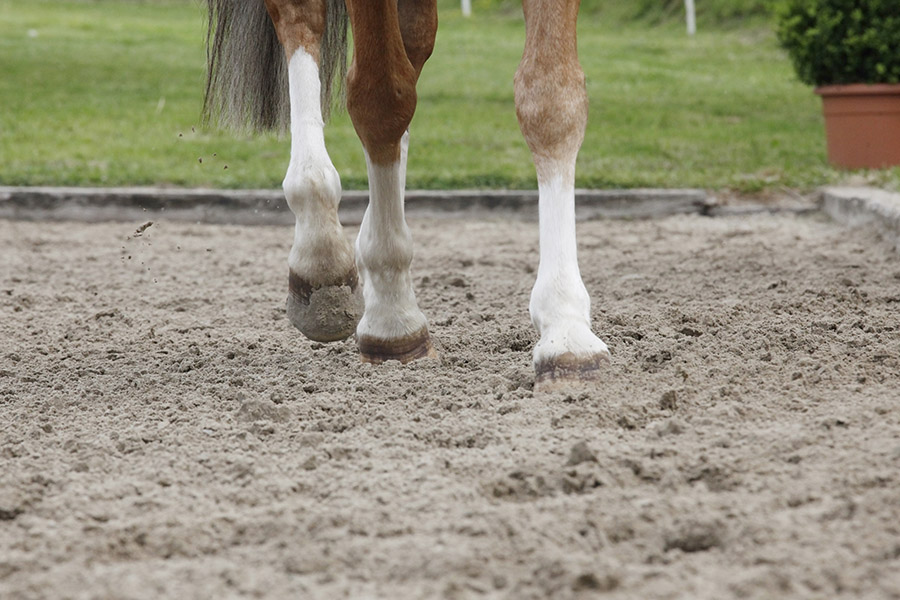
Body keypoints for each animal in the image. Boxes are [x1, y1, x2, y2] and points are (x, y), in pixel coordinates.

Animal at [203, 0, 610, 390]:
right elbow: (382, 99)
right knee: (302, 19)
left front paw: (567, 331)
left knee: (413, 44)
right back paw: (321, 258)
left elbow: (551, 101)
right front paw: (389, 313)